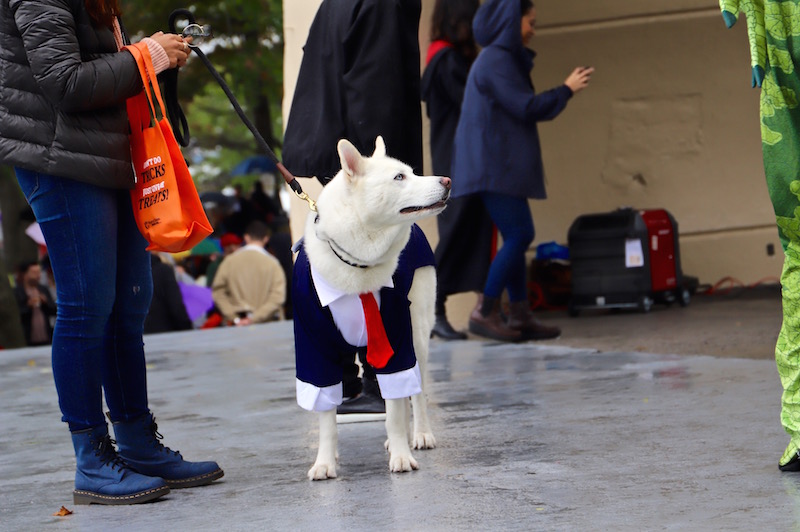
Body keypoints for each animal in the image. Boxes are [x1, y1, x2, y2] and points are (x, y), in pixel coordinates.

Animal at [292, 136, 450, 478]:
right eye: (399, 178)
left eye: (412, 172)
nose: (446, 181)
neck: (358, 264)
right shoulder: (315, 348)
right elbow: (327, 419)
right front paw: (324, 462)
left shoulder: (396, 335)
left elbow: (396, 409)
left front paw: (402, 454)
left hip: (417, 332)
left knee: (415, 393)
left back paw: (419, 434)